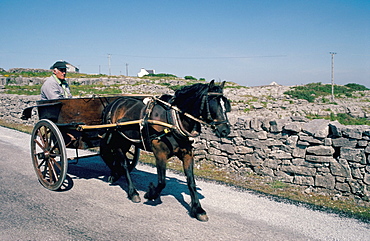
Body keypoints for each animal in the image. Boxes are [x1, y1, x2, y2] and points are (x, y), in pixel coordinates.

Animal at [99, 80, 230, 221]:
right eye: (213, 103)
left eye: (225, 105)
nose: (225, 130)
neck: (172, 121)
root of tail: (113, 103)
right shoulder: (160, 153)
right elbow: (162, 182)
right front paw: (150, 194)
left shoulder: (187, 154)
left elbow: (191, 182)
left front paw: (198, 209)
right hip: (117, 139)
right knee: (123, 163)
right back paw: (132, 192)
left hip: (126, 141)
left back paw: (115, 174)